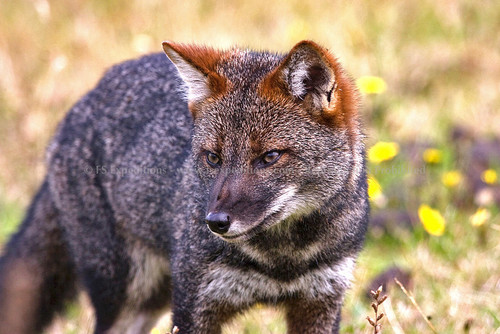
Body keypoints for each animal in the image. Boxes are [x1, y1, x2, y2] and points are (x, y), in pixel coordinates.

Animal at [0, 41, 368, 334]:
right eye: (213, 157)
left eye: (270, 157)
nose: (215, 223)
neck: (282, 261)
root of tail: (82, 103)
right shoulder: (195, 307)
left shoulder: (320, 302)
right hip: (125, 294)